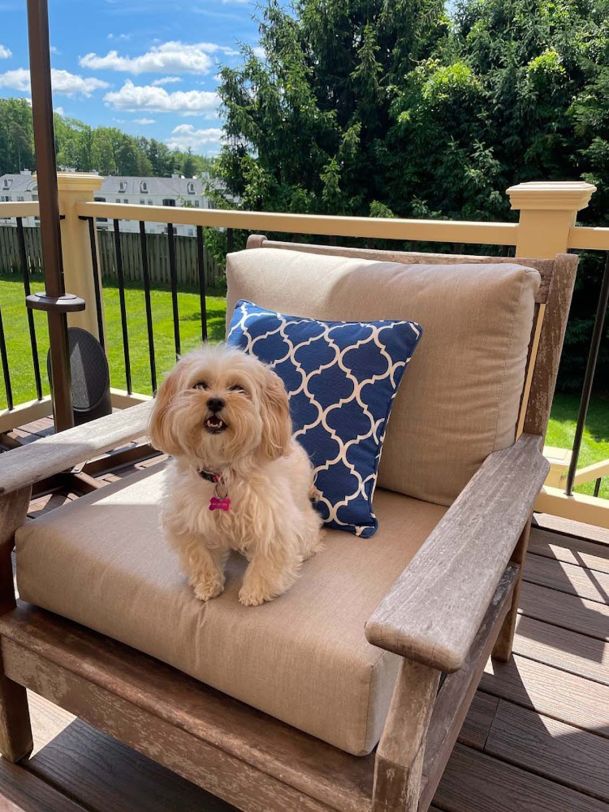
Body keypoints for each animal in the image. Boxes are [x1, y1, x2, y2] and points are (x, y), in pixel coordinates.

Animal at [149, 344, 323, 606]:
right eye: (200, 385)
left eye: (239, 389)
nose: (215, 401)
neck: (222, 473)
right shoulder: (186, 523)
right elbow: (199, 557)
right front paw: (207, 584)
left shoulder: (274, 522)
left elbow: (267, 561)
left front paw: (255, 591)